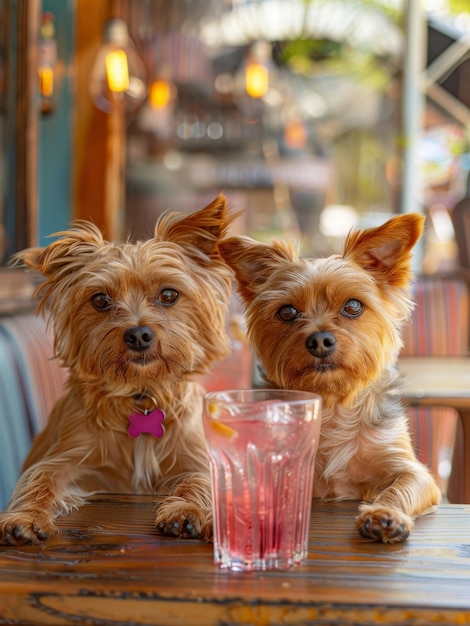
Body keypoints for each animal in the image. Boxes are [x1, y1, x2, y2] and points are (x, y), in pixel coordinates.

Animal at [0, 194, 235, 540]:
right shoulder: (72, 459)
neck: (141, 395)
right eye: (100, 300)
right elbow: (41, 478)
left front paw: (187, 510)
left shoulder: (194, 458)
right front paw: (26, 517)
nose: (138, 334)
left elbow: (200, 479)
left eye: (169, 294)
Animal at [219, 212, 440, 540]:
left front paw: (384, 514)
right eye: (287, 312)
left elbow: (402, 486)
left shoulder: (409, 467)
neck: (333, 403)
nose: (320, 340)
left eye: (353, 306)